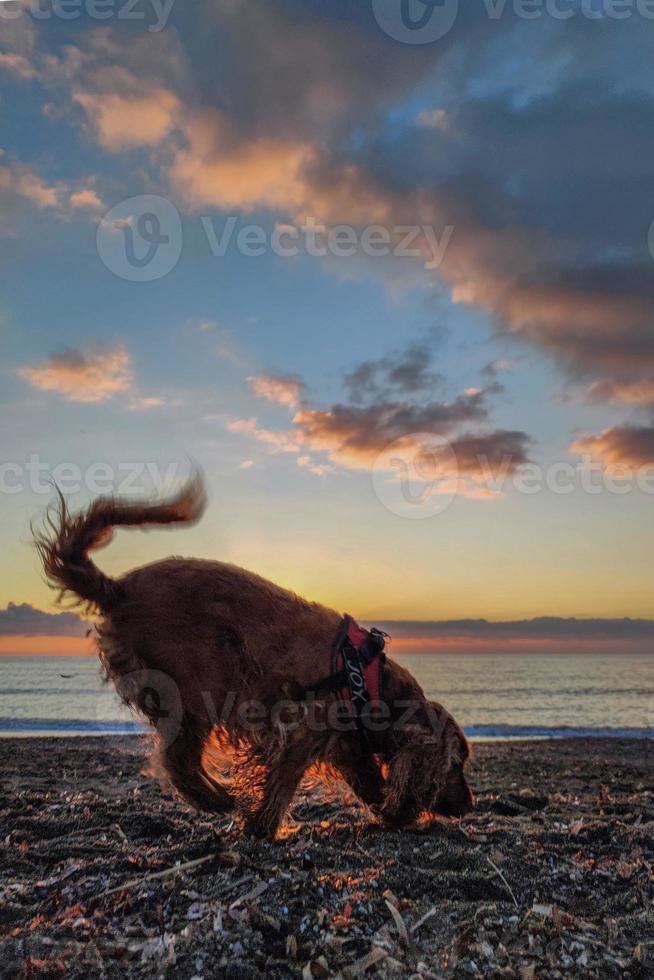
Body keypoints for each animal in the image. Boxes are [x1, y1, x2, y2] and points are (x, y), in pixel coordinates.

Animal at [36, 474, 474, 836]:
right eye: (457, 765)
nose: (470, 806)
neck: (366, 679)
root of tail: (117, 590)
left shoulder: (346, 744)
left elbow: (369, 782)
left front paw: (391, 812)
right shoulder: (300, 731)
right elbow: (282, 783)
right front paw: (262, 827)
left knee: (180, 759)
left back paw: (217, 796)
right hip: (197, 687)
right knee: (177, 760)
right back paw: (218, 799)